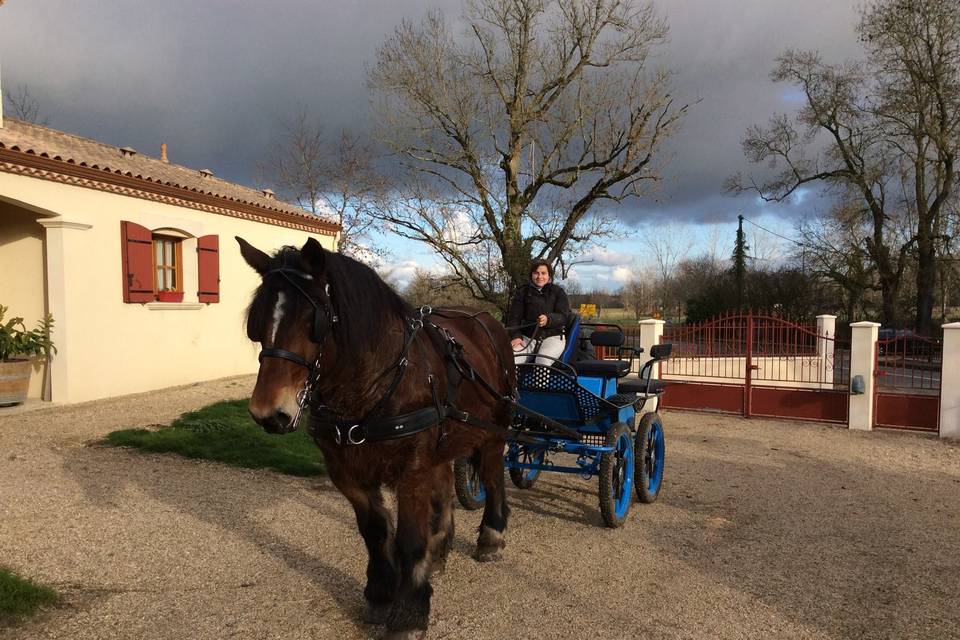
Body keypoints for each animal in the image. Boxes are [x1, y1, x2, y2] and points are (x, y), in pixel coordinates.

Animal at [235, 238, 512, 636]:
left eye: (312, 321)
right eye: (257, 325)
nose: (268, 413)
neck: (368, 389)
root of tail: (486, 321)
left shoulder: (412, 470)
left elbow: (409, 539)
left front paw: (409, 612)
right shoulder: (346, 471)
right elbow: (376, 532)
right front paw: (382, 593)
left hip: (493, 432)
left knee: (492, 478)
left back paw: (492, 535)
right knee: (445, 489)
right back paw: (439, 551)